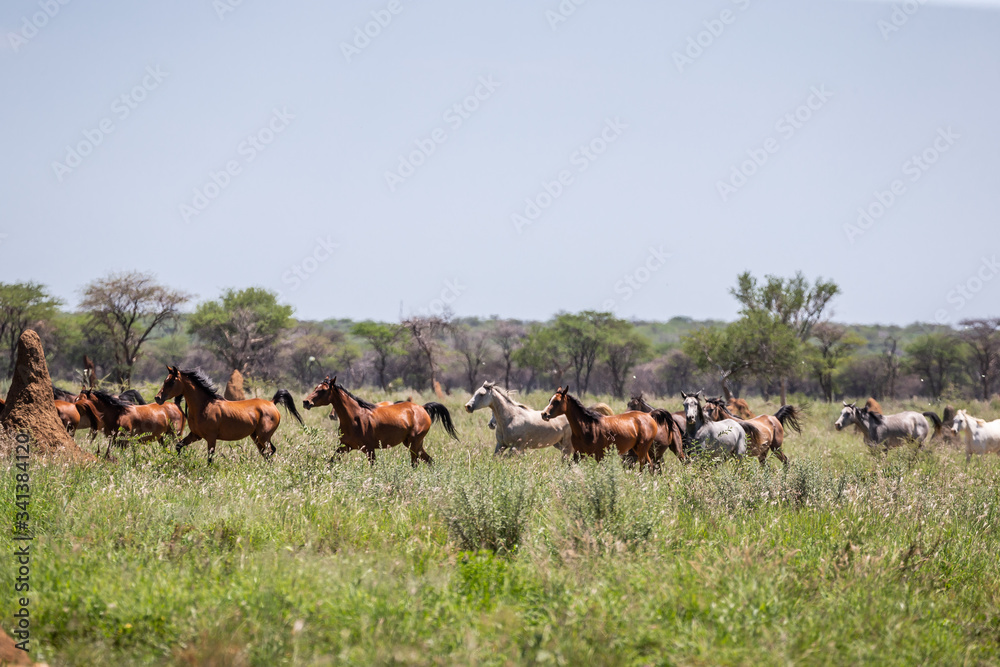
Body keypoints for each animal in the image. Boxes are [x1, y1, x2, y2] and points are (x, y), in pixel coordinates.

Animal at [154, 366, 302, 464]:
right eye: (165, 381)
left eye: (172, 381)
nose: (158, 398)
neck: (204, 406)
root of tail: (272, 402)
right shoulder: (195, 435)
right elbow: (178, 446)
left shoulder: (211, 438)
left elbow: (210, 458)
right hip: (256, 437)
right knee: (266, 452)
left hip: (263, 436)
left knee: (270, 451)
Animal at [302, 374, 458, 468]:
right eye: (315, 388)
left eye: (323, 390)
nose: (306, 402)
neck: (355, 418)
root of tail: (422, 408)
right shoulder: (345, 446)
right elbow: (331, 462)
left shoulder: (369, 449)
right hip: (414, 444)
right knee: (430, 461)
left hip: (414, 444)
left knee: (415, 464)